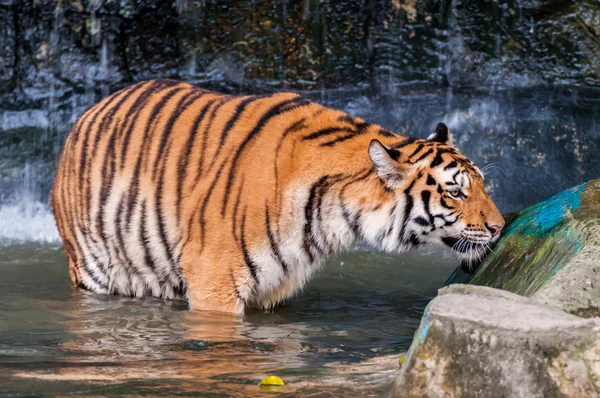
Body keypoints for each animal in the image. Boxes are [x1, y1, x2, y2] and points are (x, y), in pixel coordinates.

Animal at [50, 78, 502, 314]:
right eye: (455, 192)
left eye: (482, 184)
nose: (500, 227)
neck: (334, 218)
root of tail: (89, 111)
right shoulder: (214, 281)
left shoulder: (272, 291)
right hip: (93, 269)